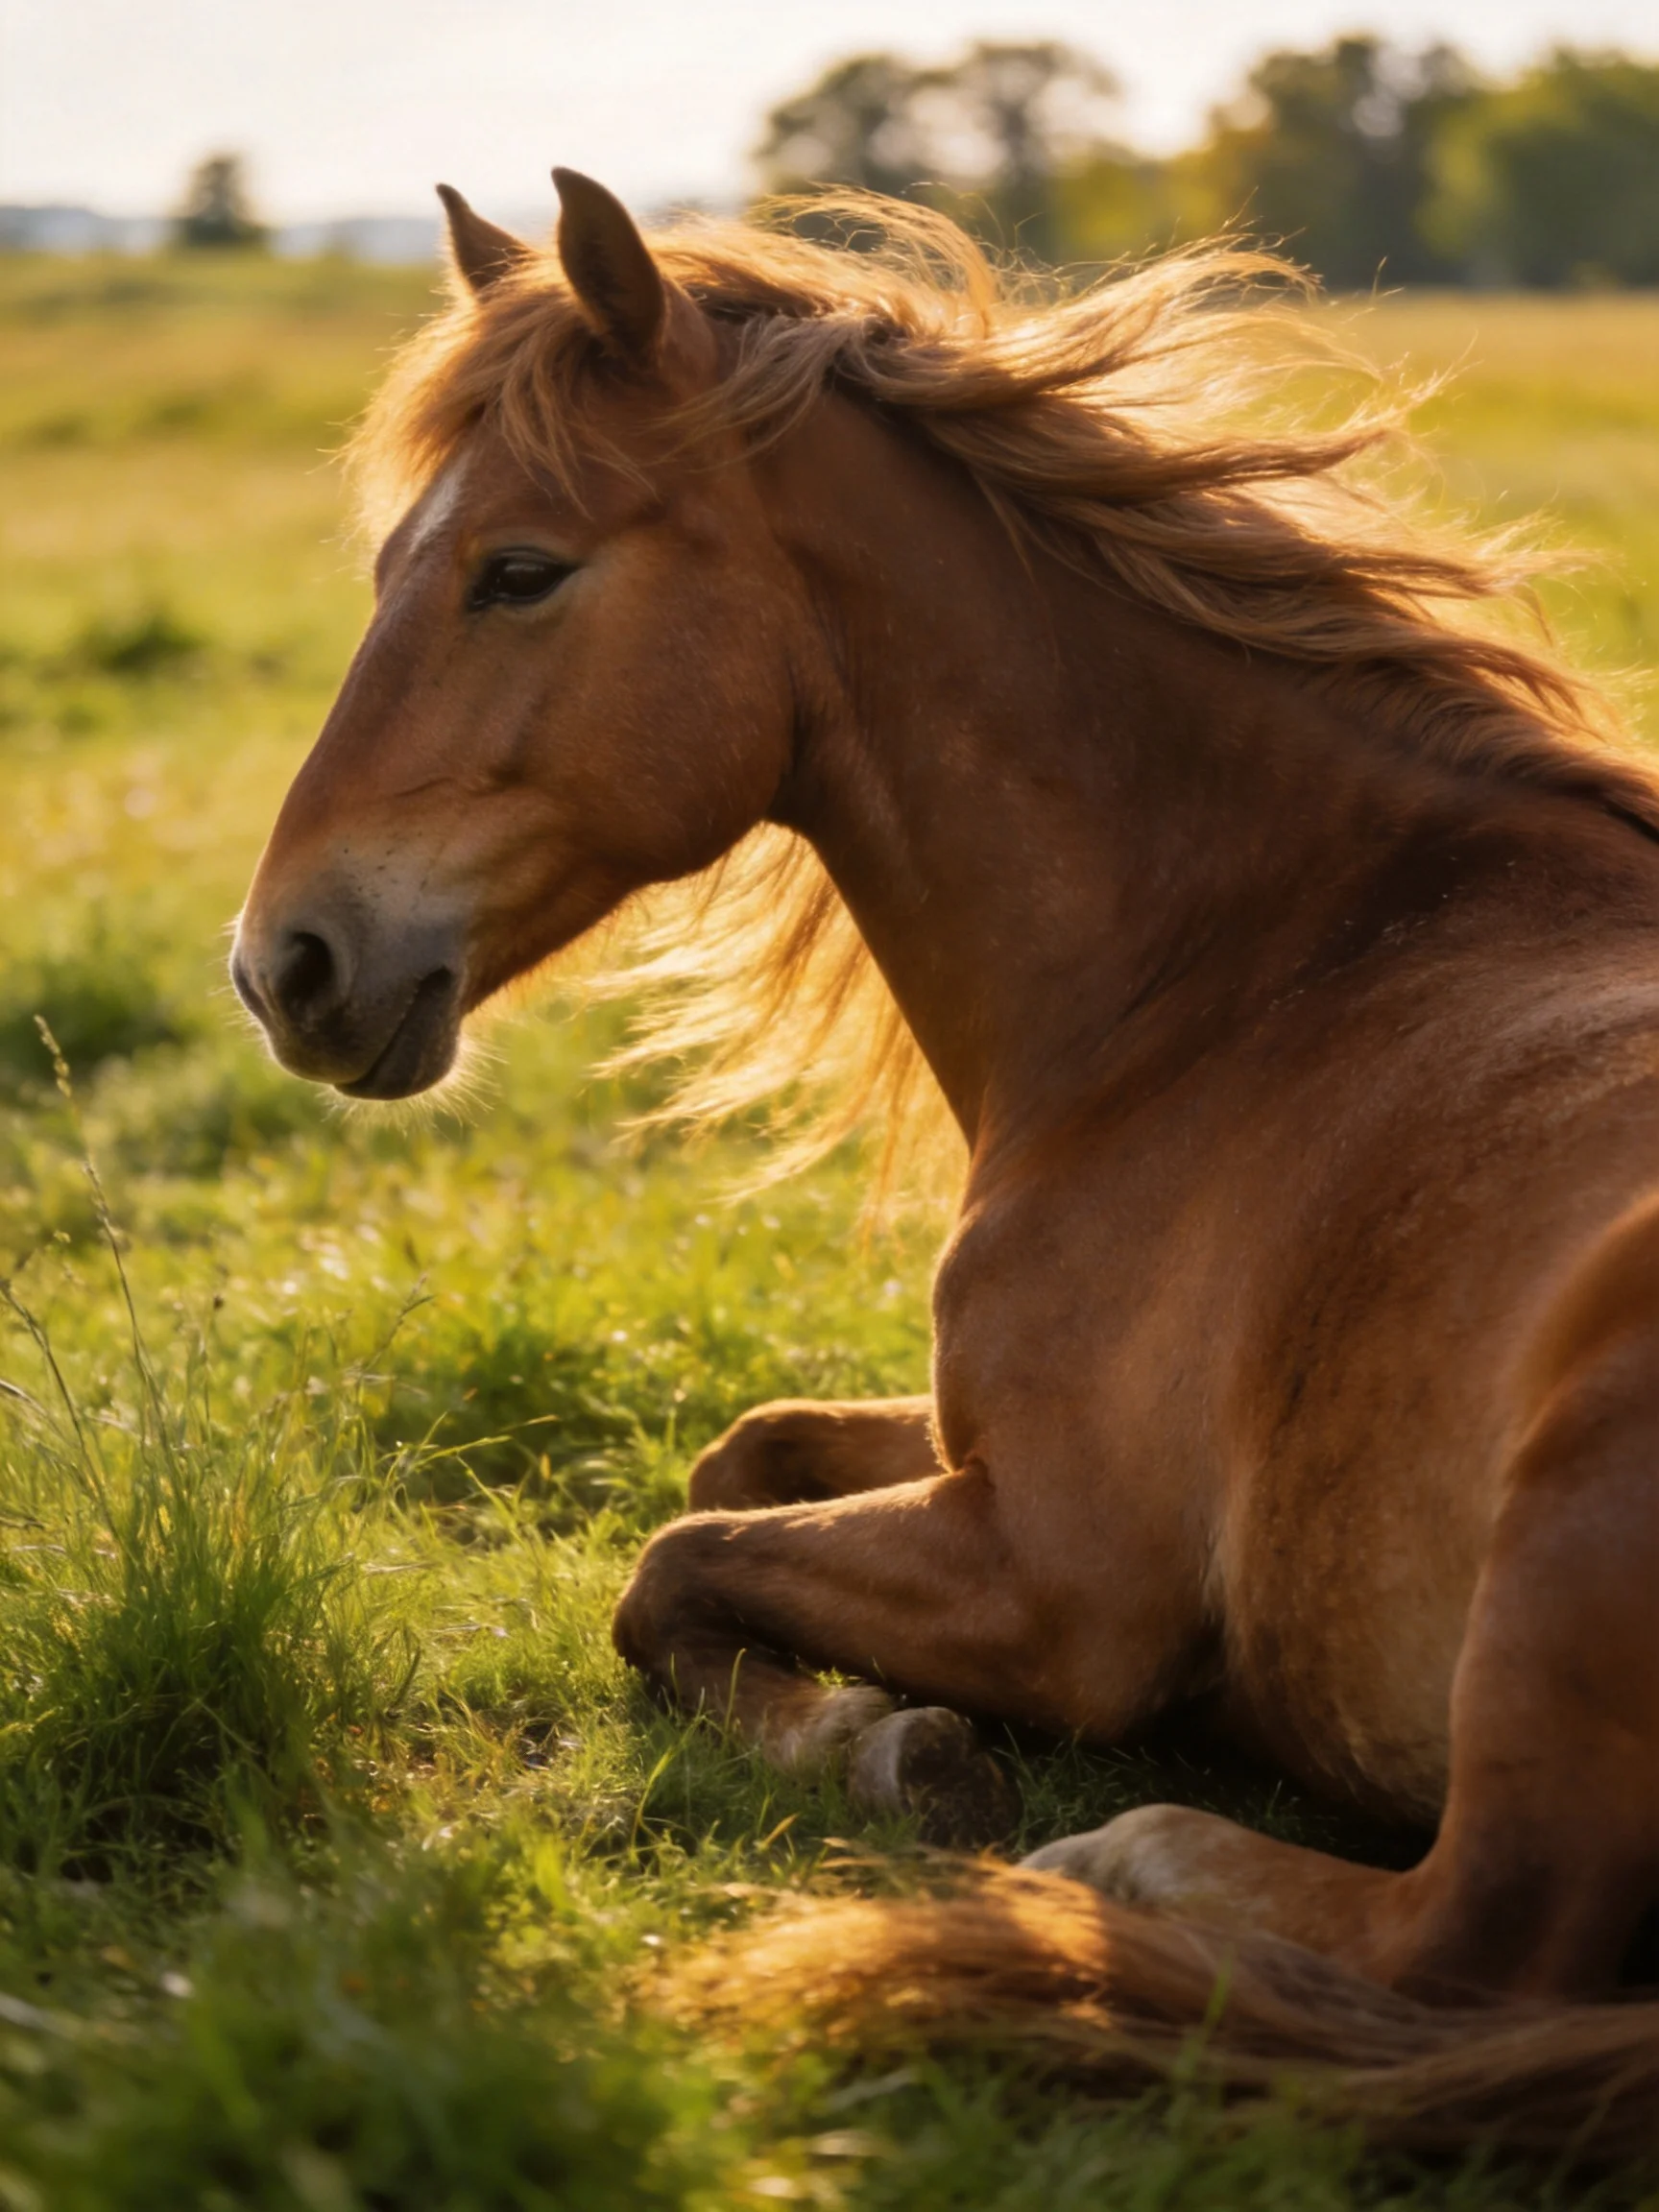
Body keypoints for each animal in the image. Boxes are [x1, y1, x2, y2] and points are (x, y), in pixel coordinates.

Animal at [231, 169, 1658, 2144]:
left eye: (518, 570)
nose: (279, 964)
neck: (1260, 971)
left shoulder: (1059, 1581)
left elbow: (670, 1557)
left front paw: (887, 1745)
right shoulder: (962, 1456)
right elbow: (736, 1453)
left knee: (1461, 1949)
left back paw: (1118, 1860)